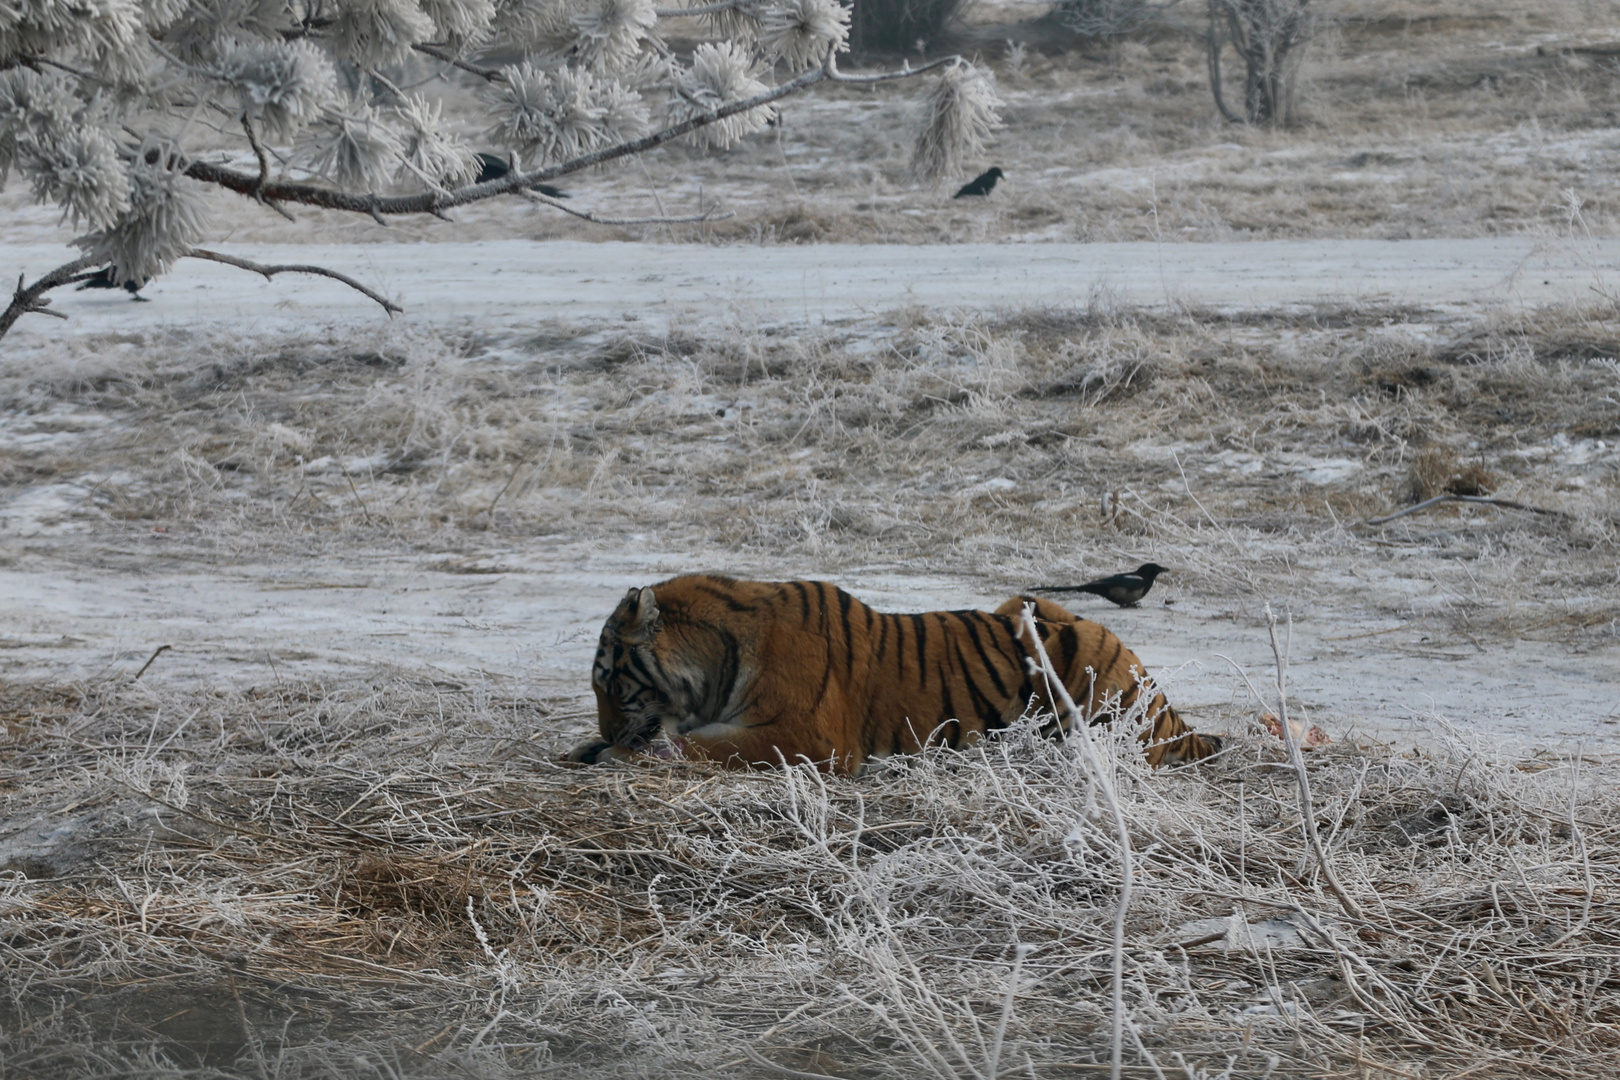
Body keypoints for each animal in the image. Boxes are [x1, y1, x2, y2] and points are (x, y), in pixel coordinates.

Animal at [563, 579, 1218, 773]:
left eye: (610, 684)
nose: (610, 731)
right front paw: (586, 749)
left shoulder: (807, 737)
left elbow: (701, 748)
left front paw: (619, 756)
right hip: (1025, 605)